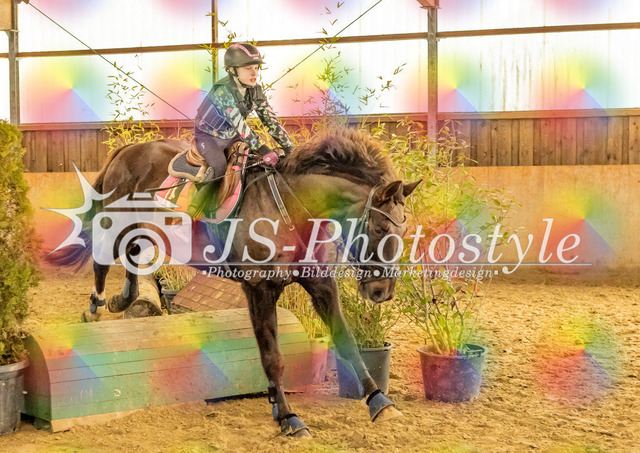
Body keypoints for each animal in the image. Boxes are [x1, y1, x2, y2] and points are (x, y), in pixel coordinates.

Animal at [48, 127, 420, 437]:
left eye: (402, 230)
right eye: (379, 228)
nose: (381, 292)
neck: (291, 209)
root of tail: (129, 149)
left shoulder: (321, 283)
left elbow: (346, 340)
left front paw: (379, 401)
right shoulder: (260, 290)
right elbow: (272, 356)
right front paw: (289, 418)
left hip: (143, 228)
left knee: (134, 255)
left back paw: (123, 300)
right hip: (115, 222)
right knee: (103, 260)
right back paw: (97, 307)